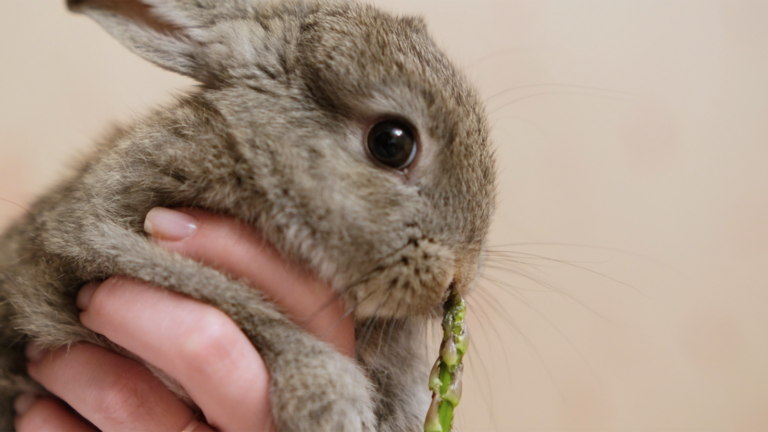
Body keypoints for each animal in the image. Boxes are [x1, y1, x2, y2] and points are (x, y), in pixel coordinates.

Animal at [0, 0, 496, 430]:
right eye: (392, 143)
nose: (459, 277)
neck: (255, 160)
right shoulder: (90, 245)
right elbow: (239, 304)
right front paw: (330, 403)